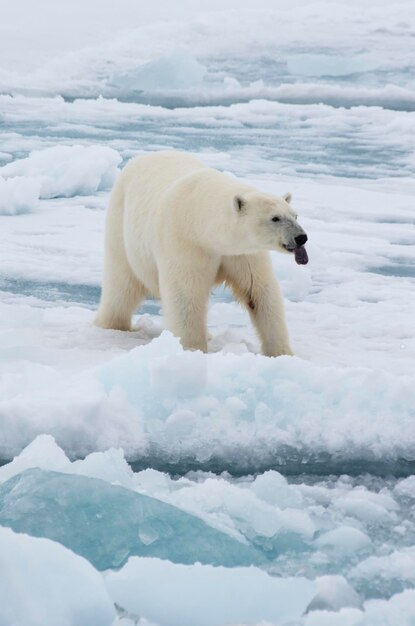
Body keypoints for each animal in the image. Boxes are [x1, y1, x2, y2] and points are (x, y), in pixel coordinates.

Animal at [95, 150, 308, 356]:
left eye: (295, 215)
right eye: (275, 218)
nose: (301, 237)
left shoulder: (242, 253)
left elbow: (258, 291)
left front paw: (282, 352)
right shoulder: (185, 241)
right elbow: (185, 294)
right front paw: (192, 349)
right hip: (121, 227)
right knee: (121, 284)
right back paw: (110, 324)